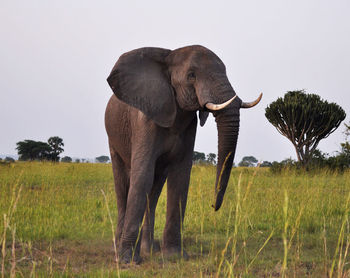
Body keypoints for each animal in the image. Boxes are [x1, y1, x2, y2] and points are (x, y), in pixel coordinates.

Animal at [105, 44, 262, 264]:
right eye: (191, 76)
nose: (213, 205)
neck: (169, 56)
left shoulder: (190, 125)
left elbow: (180, 178)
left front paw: (174, 256)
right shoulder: (144, 122)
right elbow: (142, 176)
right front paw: (128, 260)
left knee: (155, 189)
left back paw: (149, 250)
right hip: (113, 138)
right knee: (122, 186)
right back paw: (118, 248)